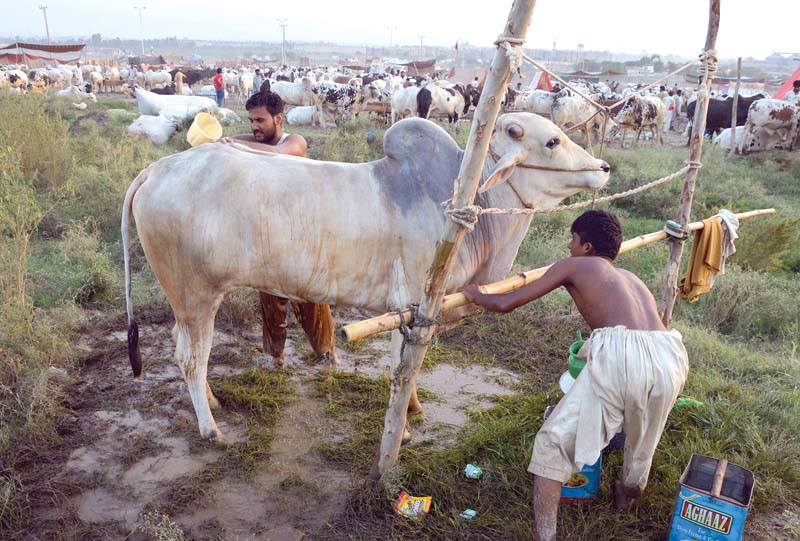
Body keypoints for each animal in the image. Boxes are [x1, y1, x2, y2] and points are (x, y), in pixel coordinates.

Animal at [123, 113, 612, 438]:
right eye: (553, 142)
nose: (603, 168)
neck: (467, 203)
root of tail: (155, 169)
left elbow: (410, 371)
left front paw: (413, 410)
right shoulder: (411, 306)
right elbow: (402, 369)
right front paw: (404, 428)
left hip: (188, 302)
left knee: (183, 348)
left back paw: (210, 402)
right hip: (196, 297)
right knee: (192, 358)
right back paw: (210, 429)